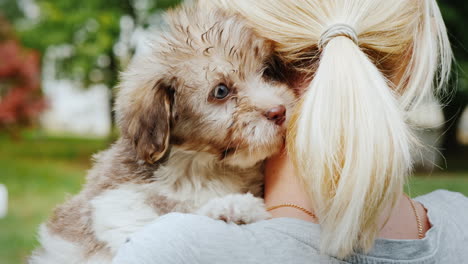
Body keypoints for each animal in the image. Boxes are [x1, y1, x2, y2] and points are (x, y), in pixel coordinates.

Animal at [29, 4, 294, 264]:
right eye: (221, 91)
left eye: (267, 72)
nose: (279, 111)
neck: (201, 165)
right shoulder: (115, 204)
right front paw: (230, 206)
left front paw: (237, 206)